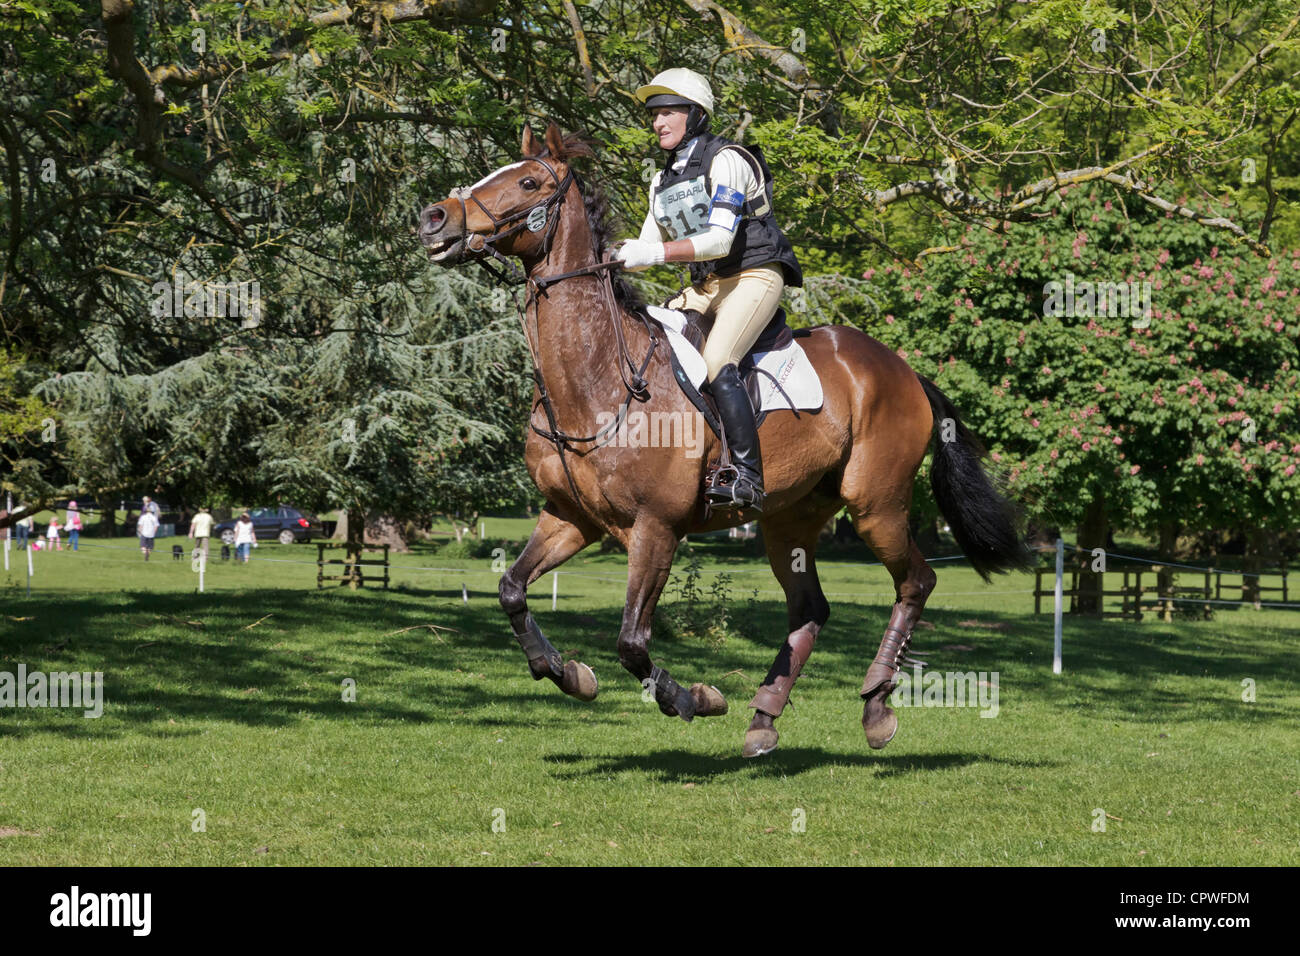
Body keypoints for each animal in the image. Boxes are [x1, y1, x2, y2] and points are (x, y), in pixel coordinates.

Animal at [419, 121, 1028, 757]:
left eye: (529, 183)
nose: (434, 218)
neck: (596, 380)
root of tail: (904, 370)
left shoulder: (656, 528)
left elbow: (632, 641)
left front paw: (692, 698)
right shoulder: (571, 517)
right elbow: (512, 590)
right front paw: (569, 675)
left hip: (875, 505)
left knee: (917, 581)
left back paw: (876, 705)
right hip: (789, 518)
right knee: (809, 609)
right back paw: (763, 719)